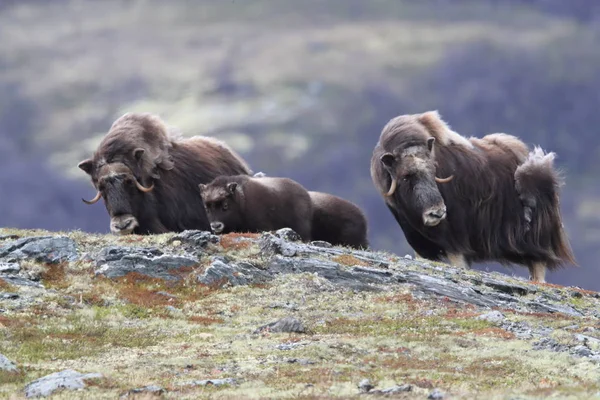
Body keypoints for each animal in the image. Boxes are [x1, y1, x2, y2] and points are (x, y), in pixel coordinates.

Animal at [370, 111, 576, 282]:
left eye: (434, 169)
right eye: (406, 177)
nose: (437, 213)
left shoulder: (455, 239)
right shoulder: (418, 240)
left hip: (535, 237)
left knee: (538, 265)